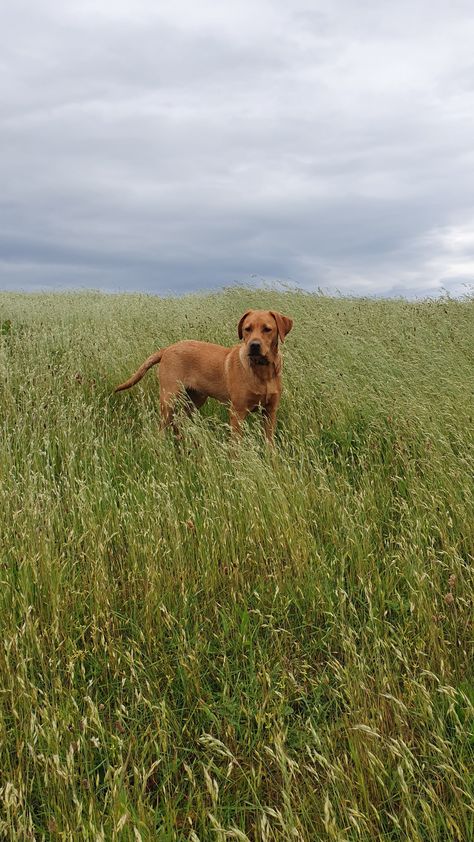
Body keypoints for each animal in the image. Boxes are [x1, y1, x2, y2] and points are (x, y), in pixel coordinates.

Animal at [115, 308, 292, 440]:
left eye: (267, 329)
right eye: (247, 329)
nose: (254, 346)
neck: (263, 372)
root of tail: (167, 349)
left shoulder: (270, 413)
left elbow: (270, 444)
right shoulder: (237, 412)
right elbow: (236, 445)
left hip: (194, 400)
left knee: (179, 423)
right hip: (169, 399)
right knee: (162, 427)